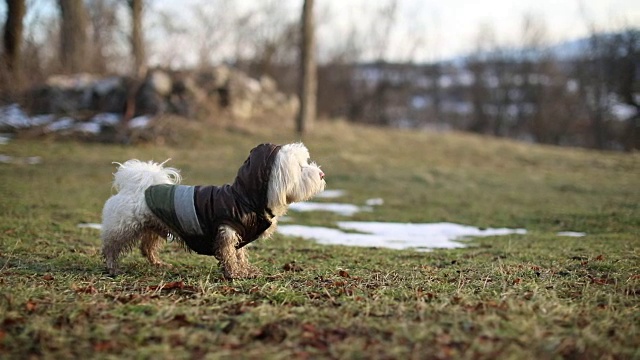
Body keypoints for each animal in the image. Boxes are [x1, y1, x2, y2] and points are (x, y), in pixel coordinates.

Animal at [102, 143, 328, 278]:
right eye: (301, 167)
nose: (322, 174)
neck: (245, 198)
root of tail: (139, 186)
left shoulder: (238, 236)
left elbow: (239, 255)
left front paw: (245, 270)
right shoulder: (226, 230)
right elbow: (228, 255)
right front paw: (235, 274)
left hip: (153, 226)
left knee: (146, 247)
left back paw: (159, 264)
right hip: (124, 227)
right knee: (111, 248)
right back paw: (113, 268)